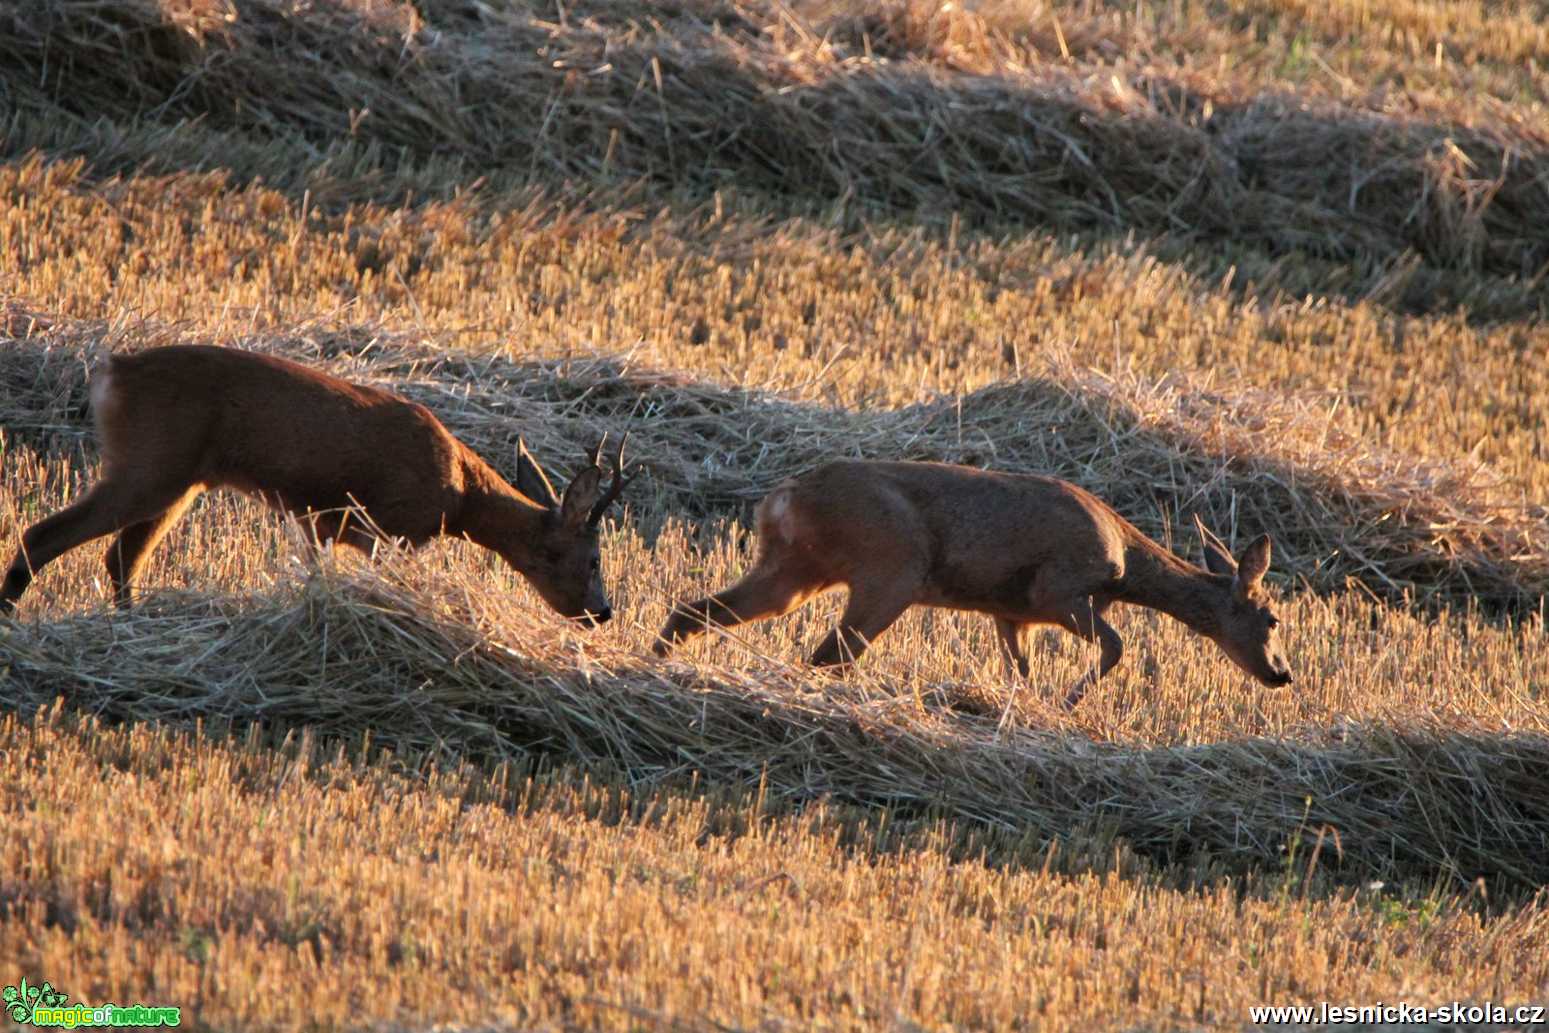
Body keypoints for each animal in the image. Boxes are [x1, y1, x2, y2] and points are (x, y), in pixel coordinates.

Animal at [3, 346, 635, 622]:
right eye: (593, 559)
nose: (602, 612)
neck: (460, 494)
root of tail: (108, 373)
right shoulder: (391, 528)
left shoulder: (320, 520)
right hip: (150, 464)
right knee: (44, 535)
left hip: (178, 479)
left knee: (120, 558)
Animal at [653, 461, 1294, 712]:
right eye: (1273, 619)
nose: (1283, 674)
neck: (1124, 562)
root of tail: (782, 497)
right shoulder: (1058, 589)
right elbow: (1118, 646)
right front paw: (1071, 701)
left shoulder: (1010, 614)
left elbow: (1020, 669)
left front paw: (1030, 708)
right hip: (891, 568)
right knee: (829, 654)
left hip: (794, 569)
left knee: (698, 608)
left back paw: (657, 664)